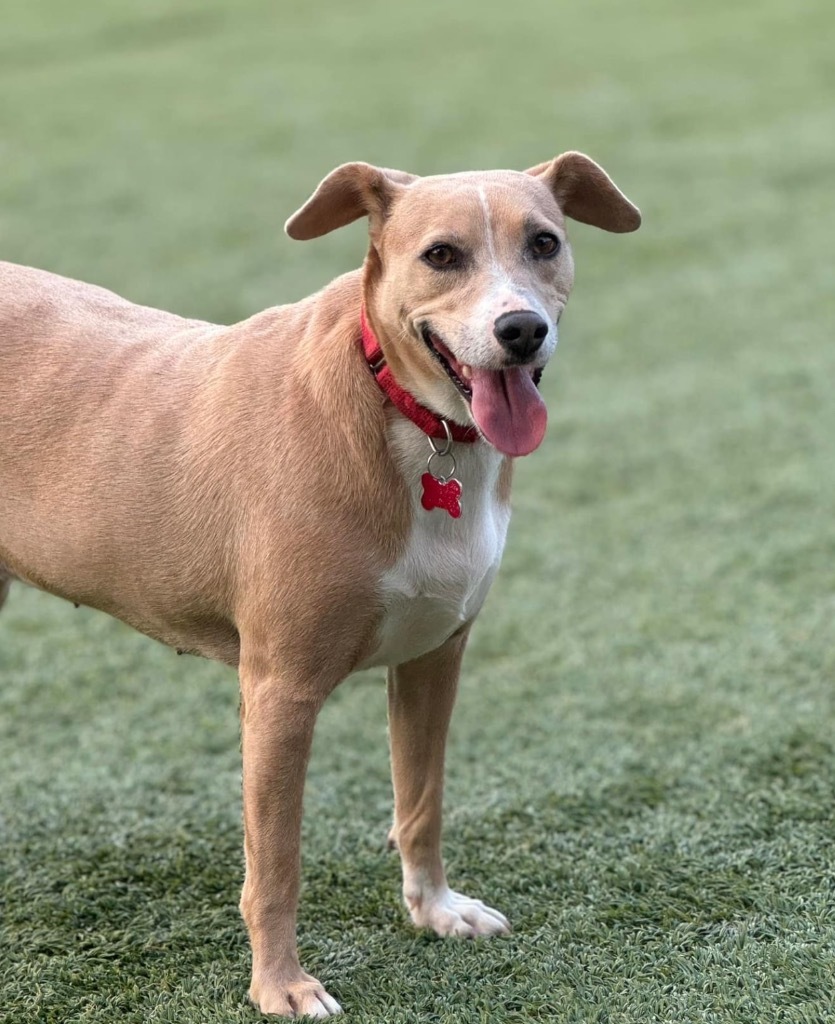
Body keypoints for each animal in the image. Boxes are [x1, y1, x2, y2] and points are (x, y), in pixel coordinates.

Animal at [0, 151, 639, 1015]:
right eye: (441, 255)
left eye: (544, 242)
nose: (520, 330)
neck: (403, 414)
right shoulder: (280, 691)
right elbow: (275, 864)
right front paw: (280, 986)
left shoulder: (433, 658)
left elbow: (421, 803)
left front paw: (434, 910)